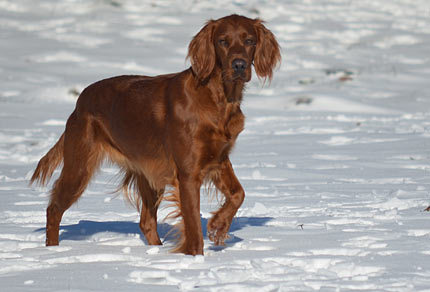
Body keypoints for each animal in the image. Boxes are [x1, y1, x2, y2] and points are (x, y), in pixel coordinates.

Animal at [33, 14, 282, 256]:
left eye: (249, 40)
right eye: (222, 41)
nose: (239, 65)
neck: (218, 99)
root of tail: (80, 101)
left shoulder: (219, 160)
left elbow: (239, 194)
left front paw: (218, 227)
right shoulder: (188, 174)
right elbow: (193, 229)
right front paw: (196, 257)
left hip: (150, 174)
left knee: (146, 222)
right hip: (80, 167)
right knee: (53, 208)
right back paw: (52, 251)